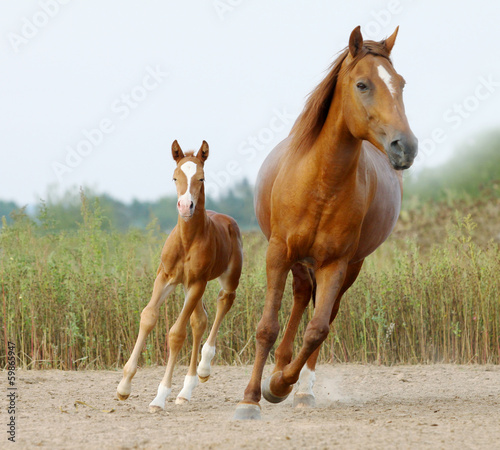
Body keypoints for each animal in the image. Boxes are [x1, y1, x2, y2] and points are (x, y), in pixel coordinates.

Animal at [117, 141, 242, 412]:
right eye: (175, 177)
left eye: (201, 177)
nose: (186, 206)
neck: (187, 240)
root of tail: (228, 221)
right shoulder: (165, 278)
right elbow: (148, 316)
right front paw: (124, 386)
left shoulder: (197, 282)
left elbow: (176, 334)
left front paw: (159, 397)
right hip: (186, 287)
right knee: (199, 321)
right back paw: (186, 390)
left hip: (225, 279)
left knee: (223, 303)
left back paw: (204, 368)